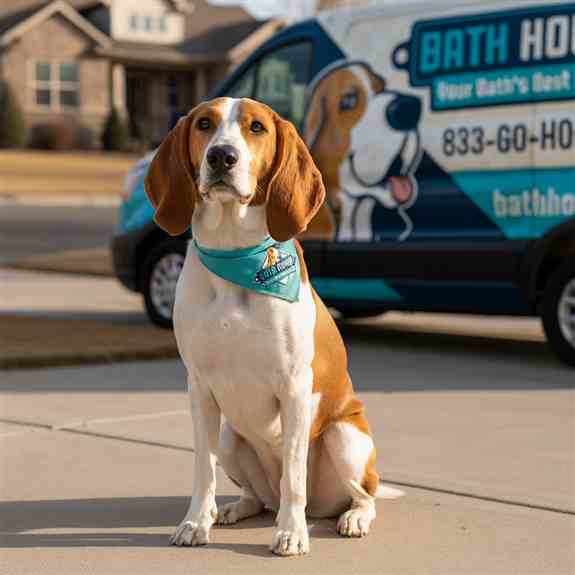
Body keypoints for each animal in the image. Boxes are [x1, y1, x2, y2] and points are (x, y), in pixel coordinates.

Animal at [145, 97, 401, 556]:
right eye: (204, 124)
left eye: (257, 128)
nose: (221, 156)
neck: (236, 254)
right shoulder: (199, 387)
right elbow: (202, 468)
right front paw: (196, 521)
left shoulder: (295, 387)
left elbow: (294, 475)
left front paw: (292, 533)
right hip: (231, 437)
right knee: (259, 496)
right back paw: (232, 509)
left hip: (345, 438)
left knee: (359, 494)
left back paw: (350, 517)